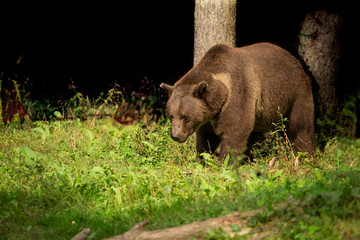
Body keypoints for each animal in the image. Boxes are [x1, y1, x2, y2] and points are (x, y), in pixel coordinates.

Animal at [160, 42, 316, 159]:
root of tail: (293, 58)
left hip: (295, 93)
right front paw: (203, 157)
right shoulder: (208, 113)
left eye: (185, 117)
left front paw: (224, 162)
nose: (175, 136)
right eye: (171, 115)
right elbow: (207, 137)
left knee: (300, 128)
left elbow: (235, 130)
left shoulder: (238, 92)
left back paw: (306, 157)